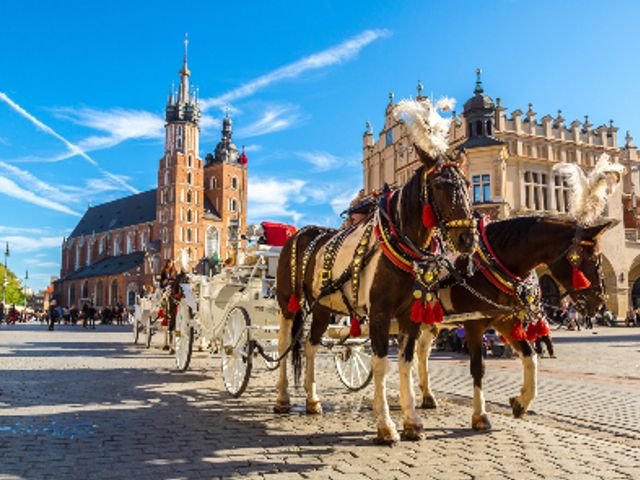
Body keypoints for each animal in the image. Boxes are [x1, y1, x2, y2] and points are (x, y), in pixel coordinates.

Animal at [274, 148, 476, 444]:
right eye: (440, 185)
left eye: (468, 184)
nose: (467, 239)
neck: (401, 245)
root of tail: (300, 232)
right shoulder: (380, 314)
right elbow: (381, 365)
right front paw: (386, 426)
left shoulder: (410, 317)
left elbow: (406, 363)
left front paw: (412, 422)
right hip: (288, 302)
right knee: (284, 344)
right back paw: (282, 398)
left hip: (322, 306)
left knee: (310, 345)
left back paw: (312, 400)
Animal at [416, 218, 608, 432]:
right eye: (594, 259)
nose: (599, 302)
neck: (490, 266)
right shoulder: (473, 326)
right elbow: (478, 368)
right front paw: (480, 415)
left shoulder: (506, 321)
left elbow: (530, 356)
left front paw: (521, 402)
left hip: (431, 323)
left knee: (421, 351)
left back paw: (427, 396)